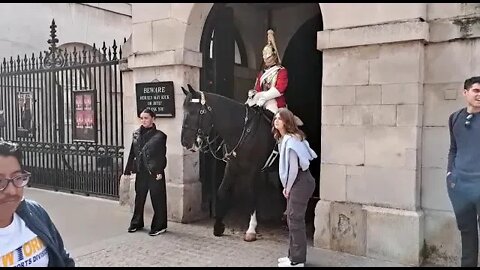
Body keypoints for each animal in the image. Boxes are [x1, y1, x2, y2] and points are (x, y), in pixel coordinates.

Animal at [183, 84, 284, 240]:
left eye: (195, 112)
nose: (184, 141)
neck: (242, 130)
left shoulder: (252, 170)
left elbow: (250, 195)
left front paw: (251, 229)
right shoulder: (231, 167)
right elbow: (221, 191)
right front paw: (218, 226)